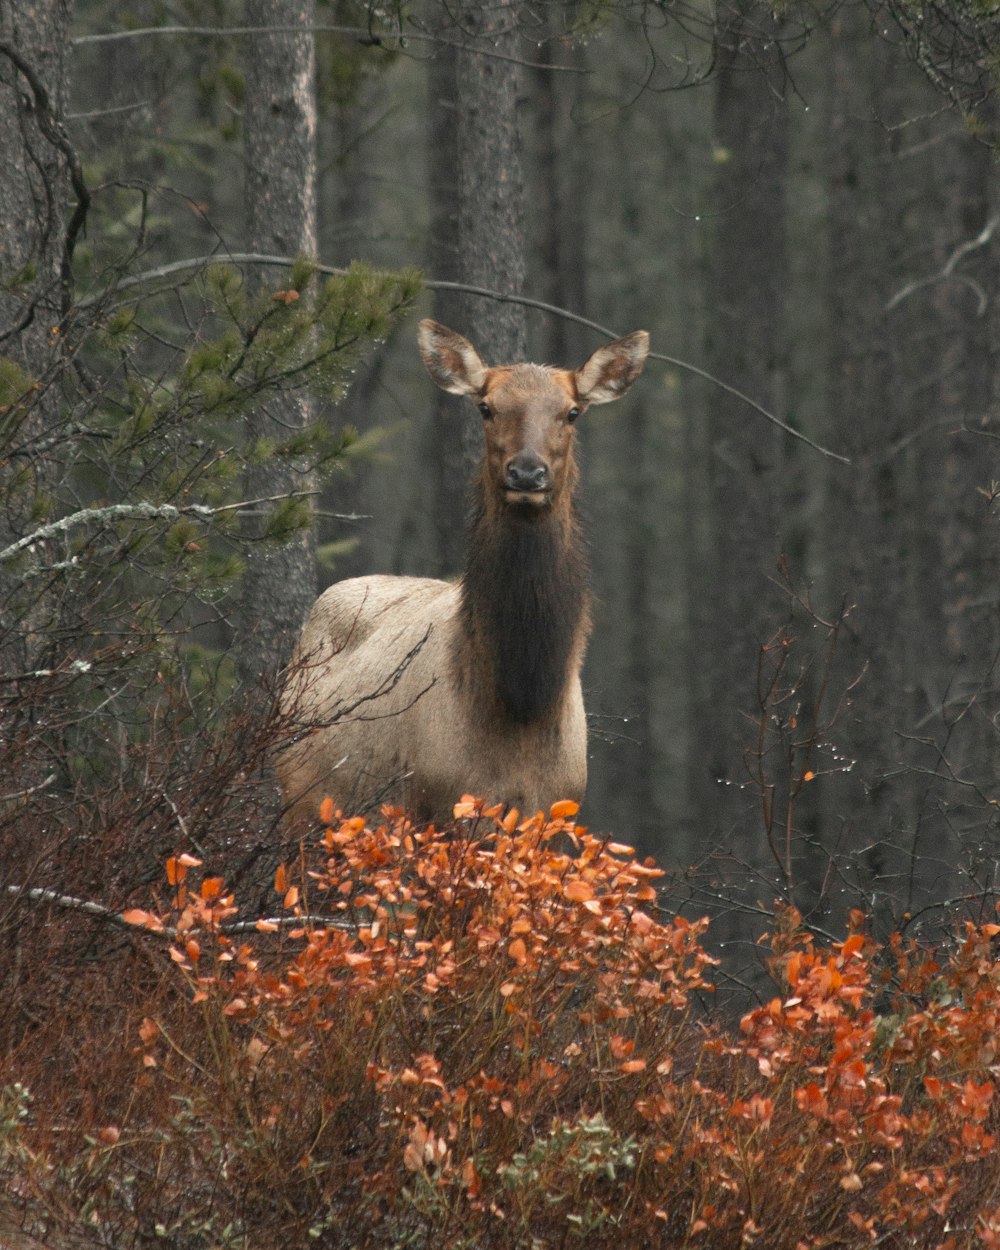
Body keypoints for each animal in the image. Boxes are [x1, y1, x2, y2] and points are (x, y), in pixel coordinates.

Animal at [275, 317, 650, 825]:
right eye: (486, 407)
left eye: (572, 412)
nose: (527, 473)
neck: (522, 703)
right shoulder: (434, 804)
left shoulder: (557, 809)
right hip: (302, 807)